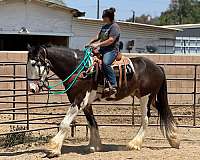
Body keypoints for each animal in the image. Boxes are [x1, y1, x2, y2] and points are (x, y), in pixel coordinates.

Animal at [26, 44, 180, 157]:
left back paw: (134, 144)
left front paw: (53, 149)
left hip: (145, 97)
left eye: (35, 64)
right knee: (163, 111)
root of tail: (157, 67)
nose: (33, 89)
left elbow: (64, 124)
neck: (79, 68)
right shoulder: (86, 103)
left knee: (146, 119)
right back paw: (174, 139)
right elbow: (92, 123)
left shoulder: (79, 100)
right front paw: (95, 146)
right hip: (151, 98)